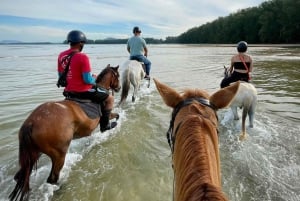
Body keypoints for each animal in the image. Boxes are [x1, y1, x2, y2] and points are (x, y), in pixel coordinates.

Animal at [9, 64, 121, 201]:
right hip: (59, 155)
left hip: (34, 153)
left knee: (21, 175)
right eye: (118, 76)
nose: (119, 87)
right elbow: (115, 116)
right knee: (52, 178)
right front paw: (112, 126)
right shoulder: (107, 114)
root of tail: (31, 123)